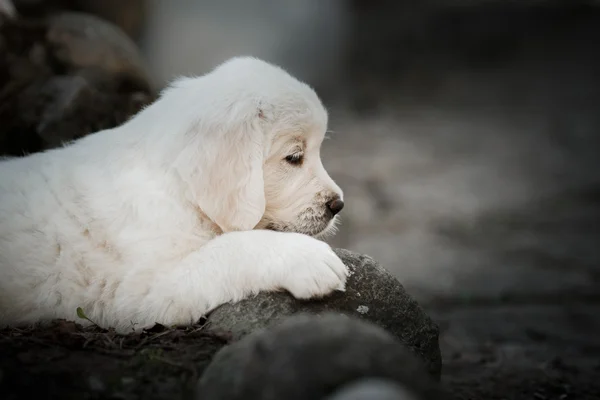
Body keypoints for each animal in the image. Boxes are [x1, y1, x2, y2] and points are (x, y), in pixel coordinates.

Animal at [0, 56, 346, 332]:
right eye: (294, 157)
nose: (338, 205)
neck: (178, 191)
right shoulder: (143, 290)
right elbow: (230, 248)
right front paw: (311, 259)